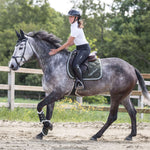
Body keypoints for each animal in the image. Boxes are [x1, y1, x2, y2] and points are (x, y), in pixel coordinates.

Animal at [8, 29, 149, 141]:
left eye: (20, 47)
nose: (12, 65)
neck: (53, 62)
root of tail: (131, 67)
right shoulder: (49, 93)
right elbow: (48, 113)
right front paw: (43, 132)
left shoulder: (58, 93)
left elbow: (39, 106)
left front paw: (48, 127)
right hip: (124, 96)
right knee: (132, 112)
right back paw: (130, 135)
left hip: (116, 95)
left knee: (112, 117)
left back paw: (96, 136)